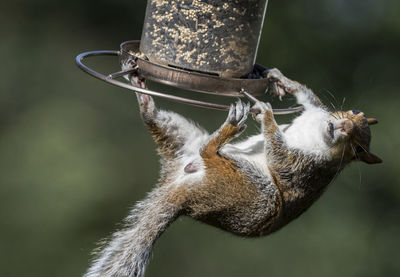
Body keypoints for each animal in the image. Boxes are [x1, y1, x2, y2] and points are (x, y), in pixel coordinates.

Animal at [84, 68, 382, 276]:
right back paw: (144, 97)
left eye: (358, 149)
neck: (318, 133)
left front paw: (267, 116)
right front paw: (280, 79)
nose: (343, 127)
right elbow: (307, 95)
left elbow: (280, 159)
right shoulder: (316, 111)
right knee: (154, 119)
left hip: (255, 192)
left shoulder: (305, 169)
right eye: (355, 111)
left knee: (207, 152)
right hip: (182, 139)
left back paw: (229, 129)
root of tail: (185, 198)